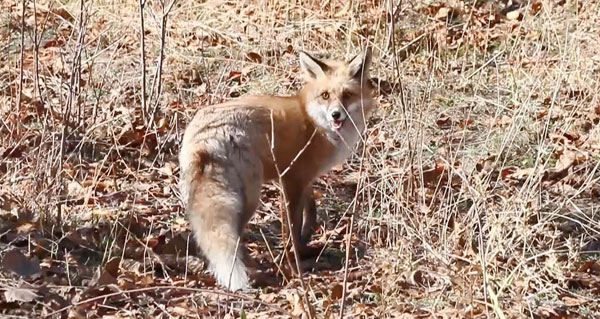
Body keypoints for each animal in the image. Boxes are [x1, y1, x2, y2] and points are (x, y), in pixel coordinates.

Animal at [178, 48, 376, 292]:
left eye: (347, 95)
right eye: (325, 96)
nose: (336, 115)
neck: (314, 122)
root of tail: (203, 136)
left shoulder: (305, 178)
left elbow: (311, 212)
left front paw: (307, 243)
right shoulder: (291, 180)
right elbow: (293, 226)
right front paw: (296, 258)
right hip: (249, 196)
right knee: (236, 233)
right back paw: (252, 267)